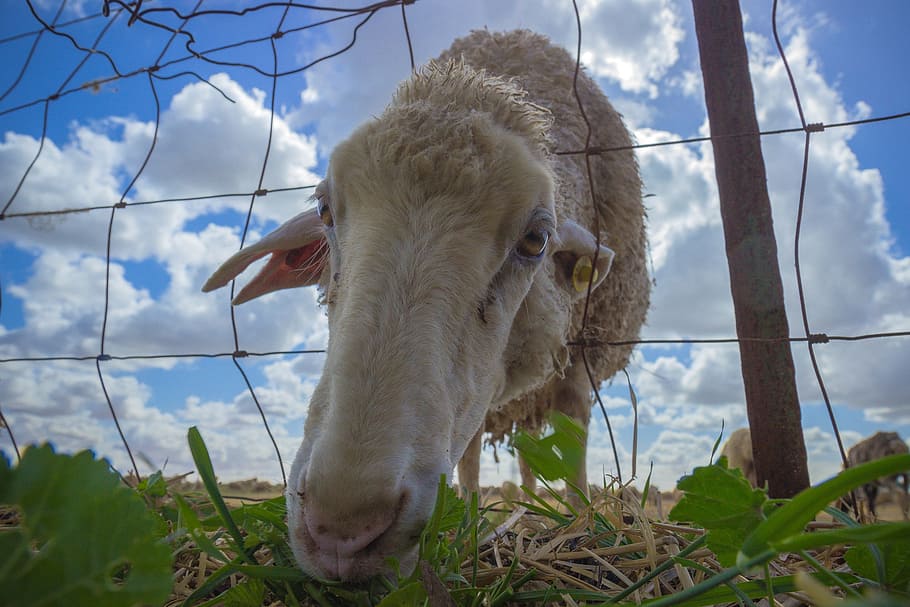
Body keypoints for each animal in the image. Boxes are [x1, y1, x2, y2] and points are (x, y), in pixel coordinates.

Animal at [202, 29, 649, 581]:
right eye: (324, 210)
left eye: (536, 240)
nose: (341, 529)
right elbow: (471, 454)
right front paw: (470, 526)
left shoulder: (580, 361)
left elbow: (576, 443)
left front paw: (583, 523)